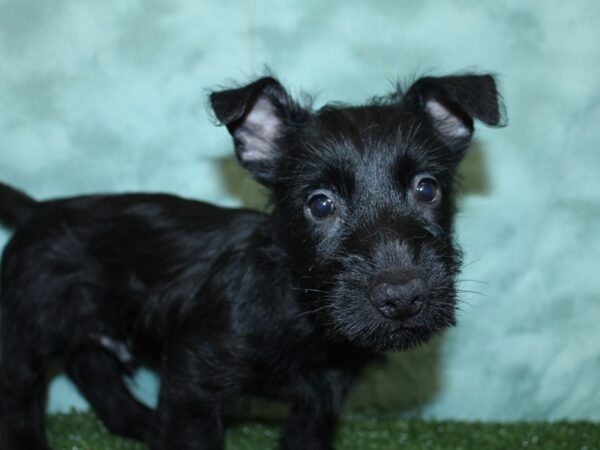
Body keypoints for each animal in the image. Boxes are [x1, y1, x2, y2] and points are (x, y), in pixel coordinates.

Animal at [0, 72, 504, 448]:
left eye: (427, 188)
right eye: (320, 204)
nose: (402, 297)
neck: (301, 308)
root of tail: (37, 211)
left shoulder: (321, 399)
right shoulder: (193, 380)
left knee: (93, 370)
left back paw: (142, 424)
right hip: (28, 330)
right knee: (22, 397)